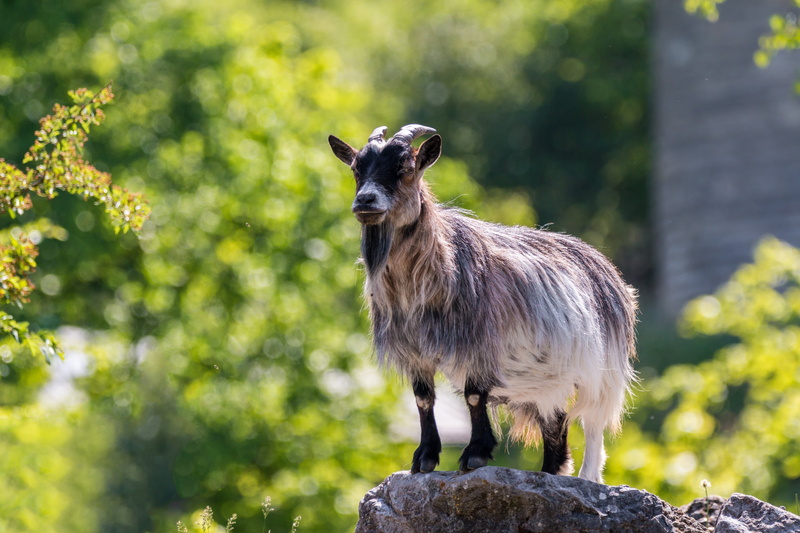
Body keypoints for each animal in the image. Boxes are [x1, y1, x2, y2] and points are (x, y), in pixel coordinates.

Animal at [328, 124, 637, 483]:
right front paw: (424, 458)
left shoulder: (479, 344)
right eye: (356, 169)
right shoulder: (414, 351)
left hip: (601, 374)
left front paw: (474, 454)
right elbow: (423, 400)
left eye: (405, 167)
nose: (365, 200)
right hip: (546, 380)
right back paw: (550, 472)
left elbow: (475, 396)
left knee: (593, 427)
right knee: (556, 425)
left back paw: (587, 477)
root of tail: (607, 269)